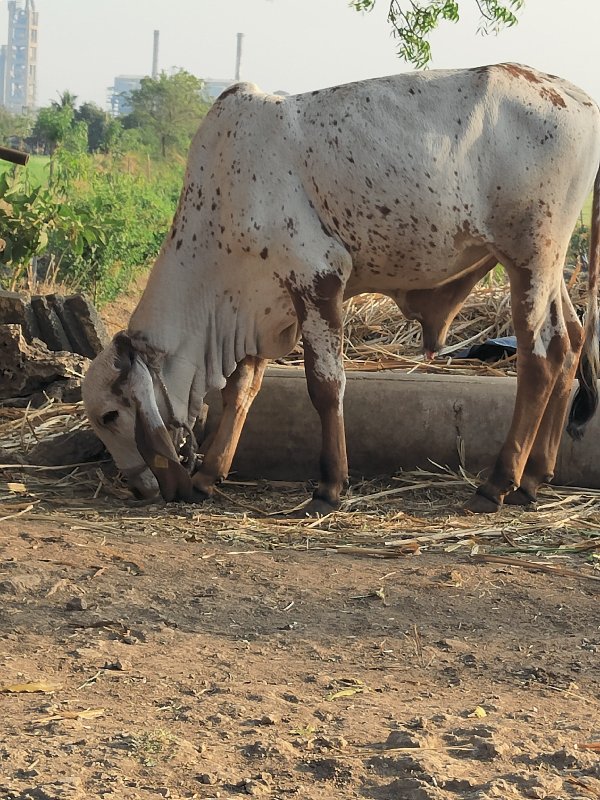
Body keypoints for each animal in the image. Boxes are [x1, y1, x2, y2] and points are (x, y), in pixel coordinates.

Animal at [82, 61, 600, 512]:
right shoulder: (263, 300)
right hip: (549, 267)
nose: (139, 488)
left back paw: (497, 484)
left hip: (530, 258)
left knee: (540, 360)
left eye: (111, 415)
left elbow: (325, 386)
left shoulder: (317, 277)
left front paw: (329, 486)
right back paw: (534, 478)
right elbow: (241, 389)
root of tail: (580, 99)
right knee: (571, 345)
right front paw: (210, 474)